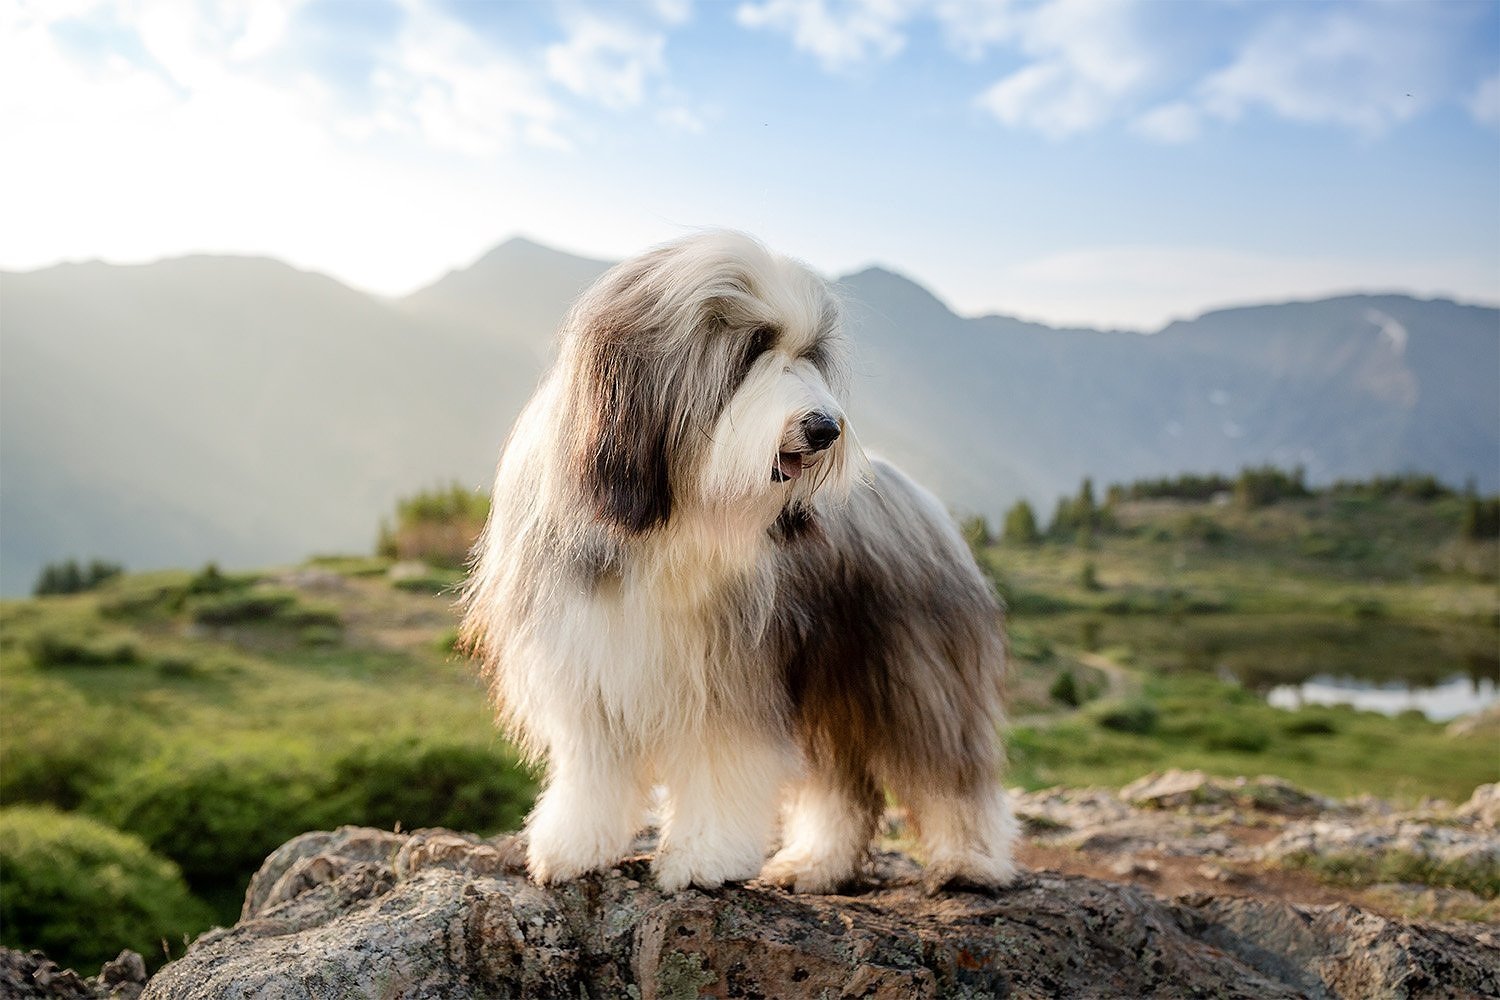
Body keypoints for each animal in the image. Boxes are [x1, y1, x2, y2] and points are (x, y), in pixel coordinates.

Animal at [459, 229, 1020, 893]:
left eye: (809, 354)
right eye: (753, 347)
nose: (825, 428)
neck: (665, 520)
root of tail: (919, 495)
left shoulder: (727, 674)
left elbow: (719, 766)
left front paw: (703, 857)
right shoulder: (589, 665)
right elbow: (592, 771)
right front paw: (575, 847)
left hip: (915, 671)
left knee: (950, 768)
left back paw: (972, 860)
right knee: (842, 787)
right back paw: (815, 864)